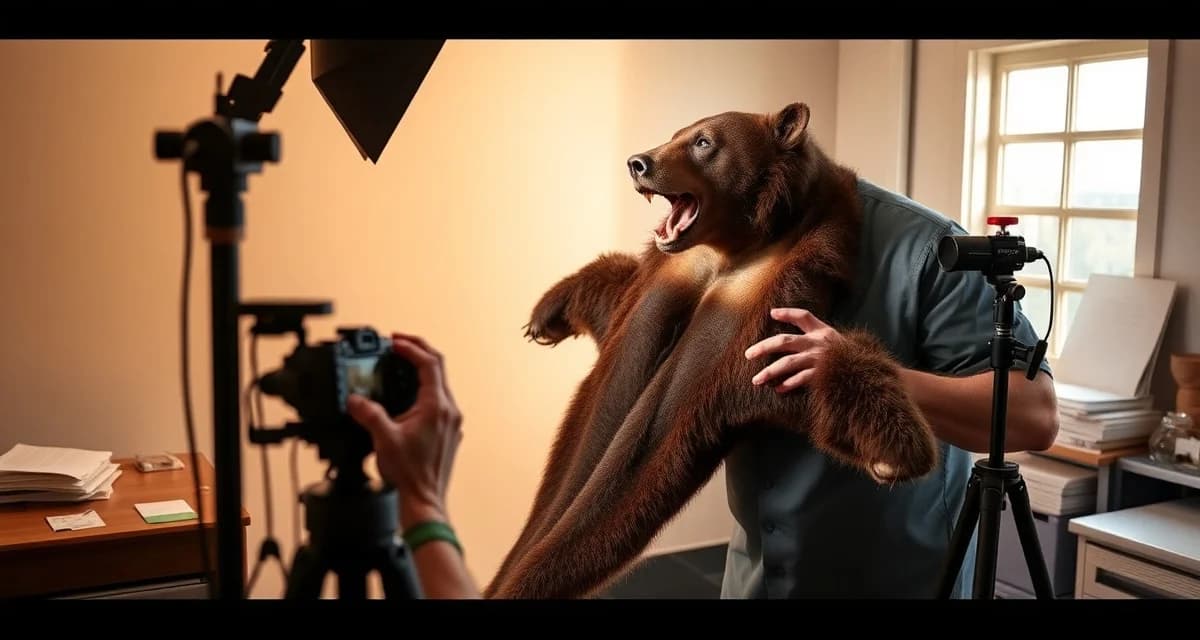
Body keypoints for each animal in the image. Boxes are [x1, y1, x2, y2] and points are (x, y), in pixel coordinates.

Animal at [483, 102, 940, 599]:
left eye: (704, 142)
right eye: (675, 134)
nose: (638, 162)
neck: (731, 249)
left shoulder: (765, 313)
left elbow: (810, 370)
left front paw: (893, 452)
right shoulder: (670, 275)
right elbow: (616, 285)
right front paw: (547, 313)